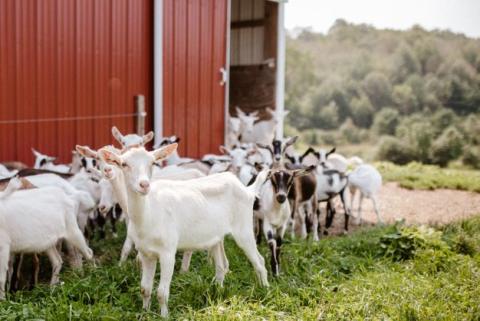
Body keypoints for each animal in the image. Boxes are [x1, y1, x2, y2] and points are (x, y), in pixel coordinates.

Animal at [100, 144, 270, 316]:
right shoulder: (145, 253)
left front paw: (164, 316)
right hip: (216, 236)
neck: (149, 213)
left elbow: (162, 292)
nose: (144, 185)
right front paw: (145, 313)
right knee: (222, 266)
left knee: (259, 261)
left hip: (244, 228)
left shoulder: (168, 252)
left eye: (152, 163)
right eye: (124, 164)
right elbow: (145, 288)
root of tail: (246, 189)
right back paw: (218, 293)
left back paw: (265, 290)